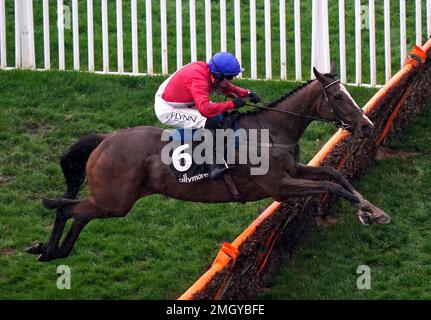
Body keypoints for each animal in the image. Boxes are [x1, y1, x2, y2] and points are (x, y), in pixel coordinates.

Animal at [27, 67, 392, 262]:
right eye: (339, 97)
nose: (366, 125)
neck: (271, 131)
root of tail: (105, 138)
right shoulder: (280, 187)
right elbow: (329, 183)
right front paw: (367, 210)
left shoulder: (294, 172)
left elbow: (333, 173)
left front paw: (371, 210)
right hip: (115, 202)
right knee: (67, 209)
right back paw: (47, 248)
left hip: (109, 202)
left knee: (79, 213)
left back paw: (53, 250)